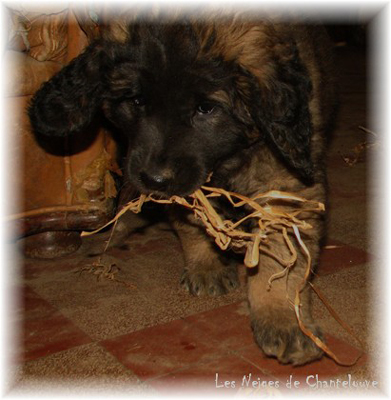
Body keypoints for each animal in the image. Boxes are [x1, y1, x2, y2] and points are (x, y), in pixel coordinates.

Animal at [29, 9, 338, 366]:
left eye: (206, 108)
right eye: (136, 100)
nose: (154, 179)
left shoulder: (285, 178)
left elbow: (281, 255)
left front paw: (284, 320)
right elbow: (192, 222)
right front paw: (205, 266)